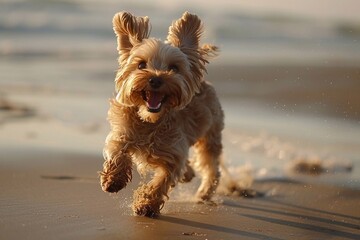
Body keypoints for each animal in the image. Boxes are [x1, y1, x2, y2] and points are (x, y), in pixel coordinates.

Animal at [100, 11, 253, 218]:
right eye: (141, 65)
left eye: (173, 68)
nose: (155, 79)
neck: (151, 121)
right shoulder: (122, 132)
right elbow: (117, 151)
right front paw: (113, 179)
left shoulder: (173, 154)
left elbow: (161, 181)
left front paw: (146, 204)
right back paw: (189, 175)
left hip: (210, 135)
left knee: (211, 168)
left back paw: (204, 193)